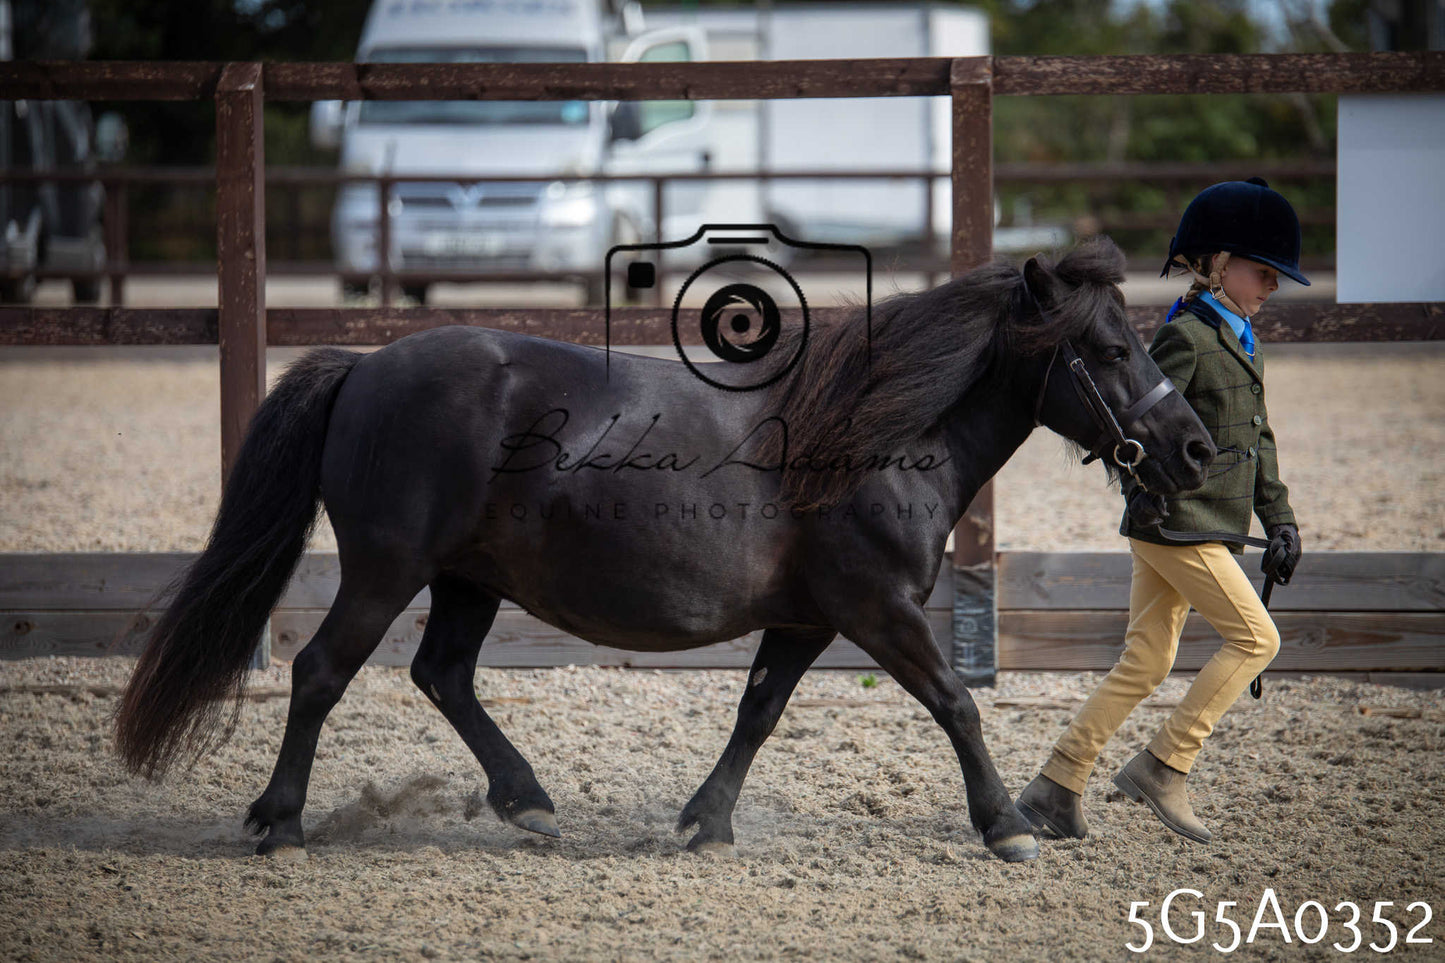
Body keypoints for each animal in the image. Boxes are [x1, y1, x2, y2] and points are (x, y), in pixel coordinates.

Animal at [114, 237, 1214, 863]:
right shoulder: (878, 610)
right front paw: (1007, 828)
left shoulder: (806, 620)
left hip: (468, 580)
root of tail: (366, 366)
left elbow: (757, 713)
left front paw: (702, 823)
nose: (1194, 448)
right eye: (1111, 349)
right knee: (320, 671)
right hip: (388, 570)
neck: (872, 437)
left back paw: (528, 804)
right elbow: (954, 703)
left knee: (442, 676)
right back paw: (280, 822)